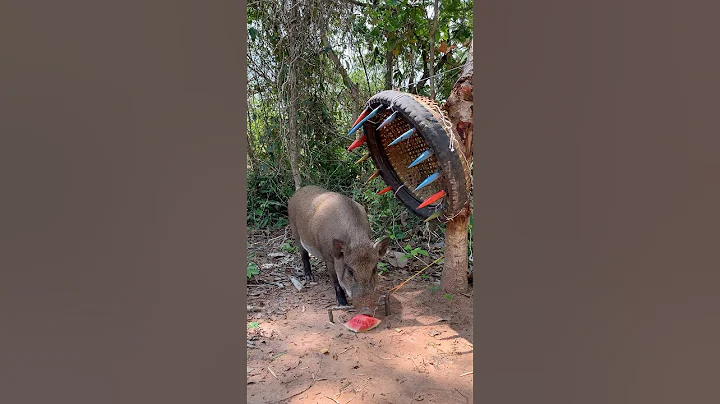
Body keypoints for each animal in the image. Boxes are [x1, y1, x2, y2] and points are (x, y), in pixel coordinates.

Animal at [288, 185, 390, 316]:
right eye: (350, 271)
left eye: (374, 269)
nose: (366, 310)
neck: (357, 241)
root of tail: (298, 191)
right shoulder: (328, 256)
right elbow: (335, 280)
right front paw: (342, 304)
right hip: (295, 232)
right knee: (303, 254)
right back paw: (310, 278)